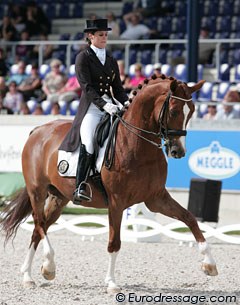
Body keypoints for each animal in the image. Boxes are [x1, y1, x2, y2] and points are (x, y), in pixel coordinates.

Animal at [0, 75, 218, 290]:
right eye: (173, 111)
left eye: (192, 111)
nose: (178, 151)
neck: (137, 144)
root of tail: (38, 130)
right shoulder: (116, 202)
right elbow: (114, 242)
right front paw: (112, 283)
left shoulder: (156, 198)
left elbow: (190, 218)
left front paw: (209, 264)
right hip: (37, 190)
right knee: (38, 222)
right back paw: (46, 267)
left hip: (59, 197)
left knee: (40, 228)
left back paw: (32, 274)